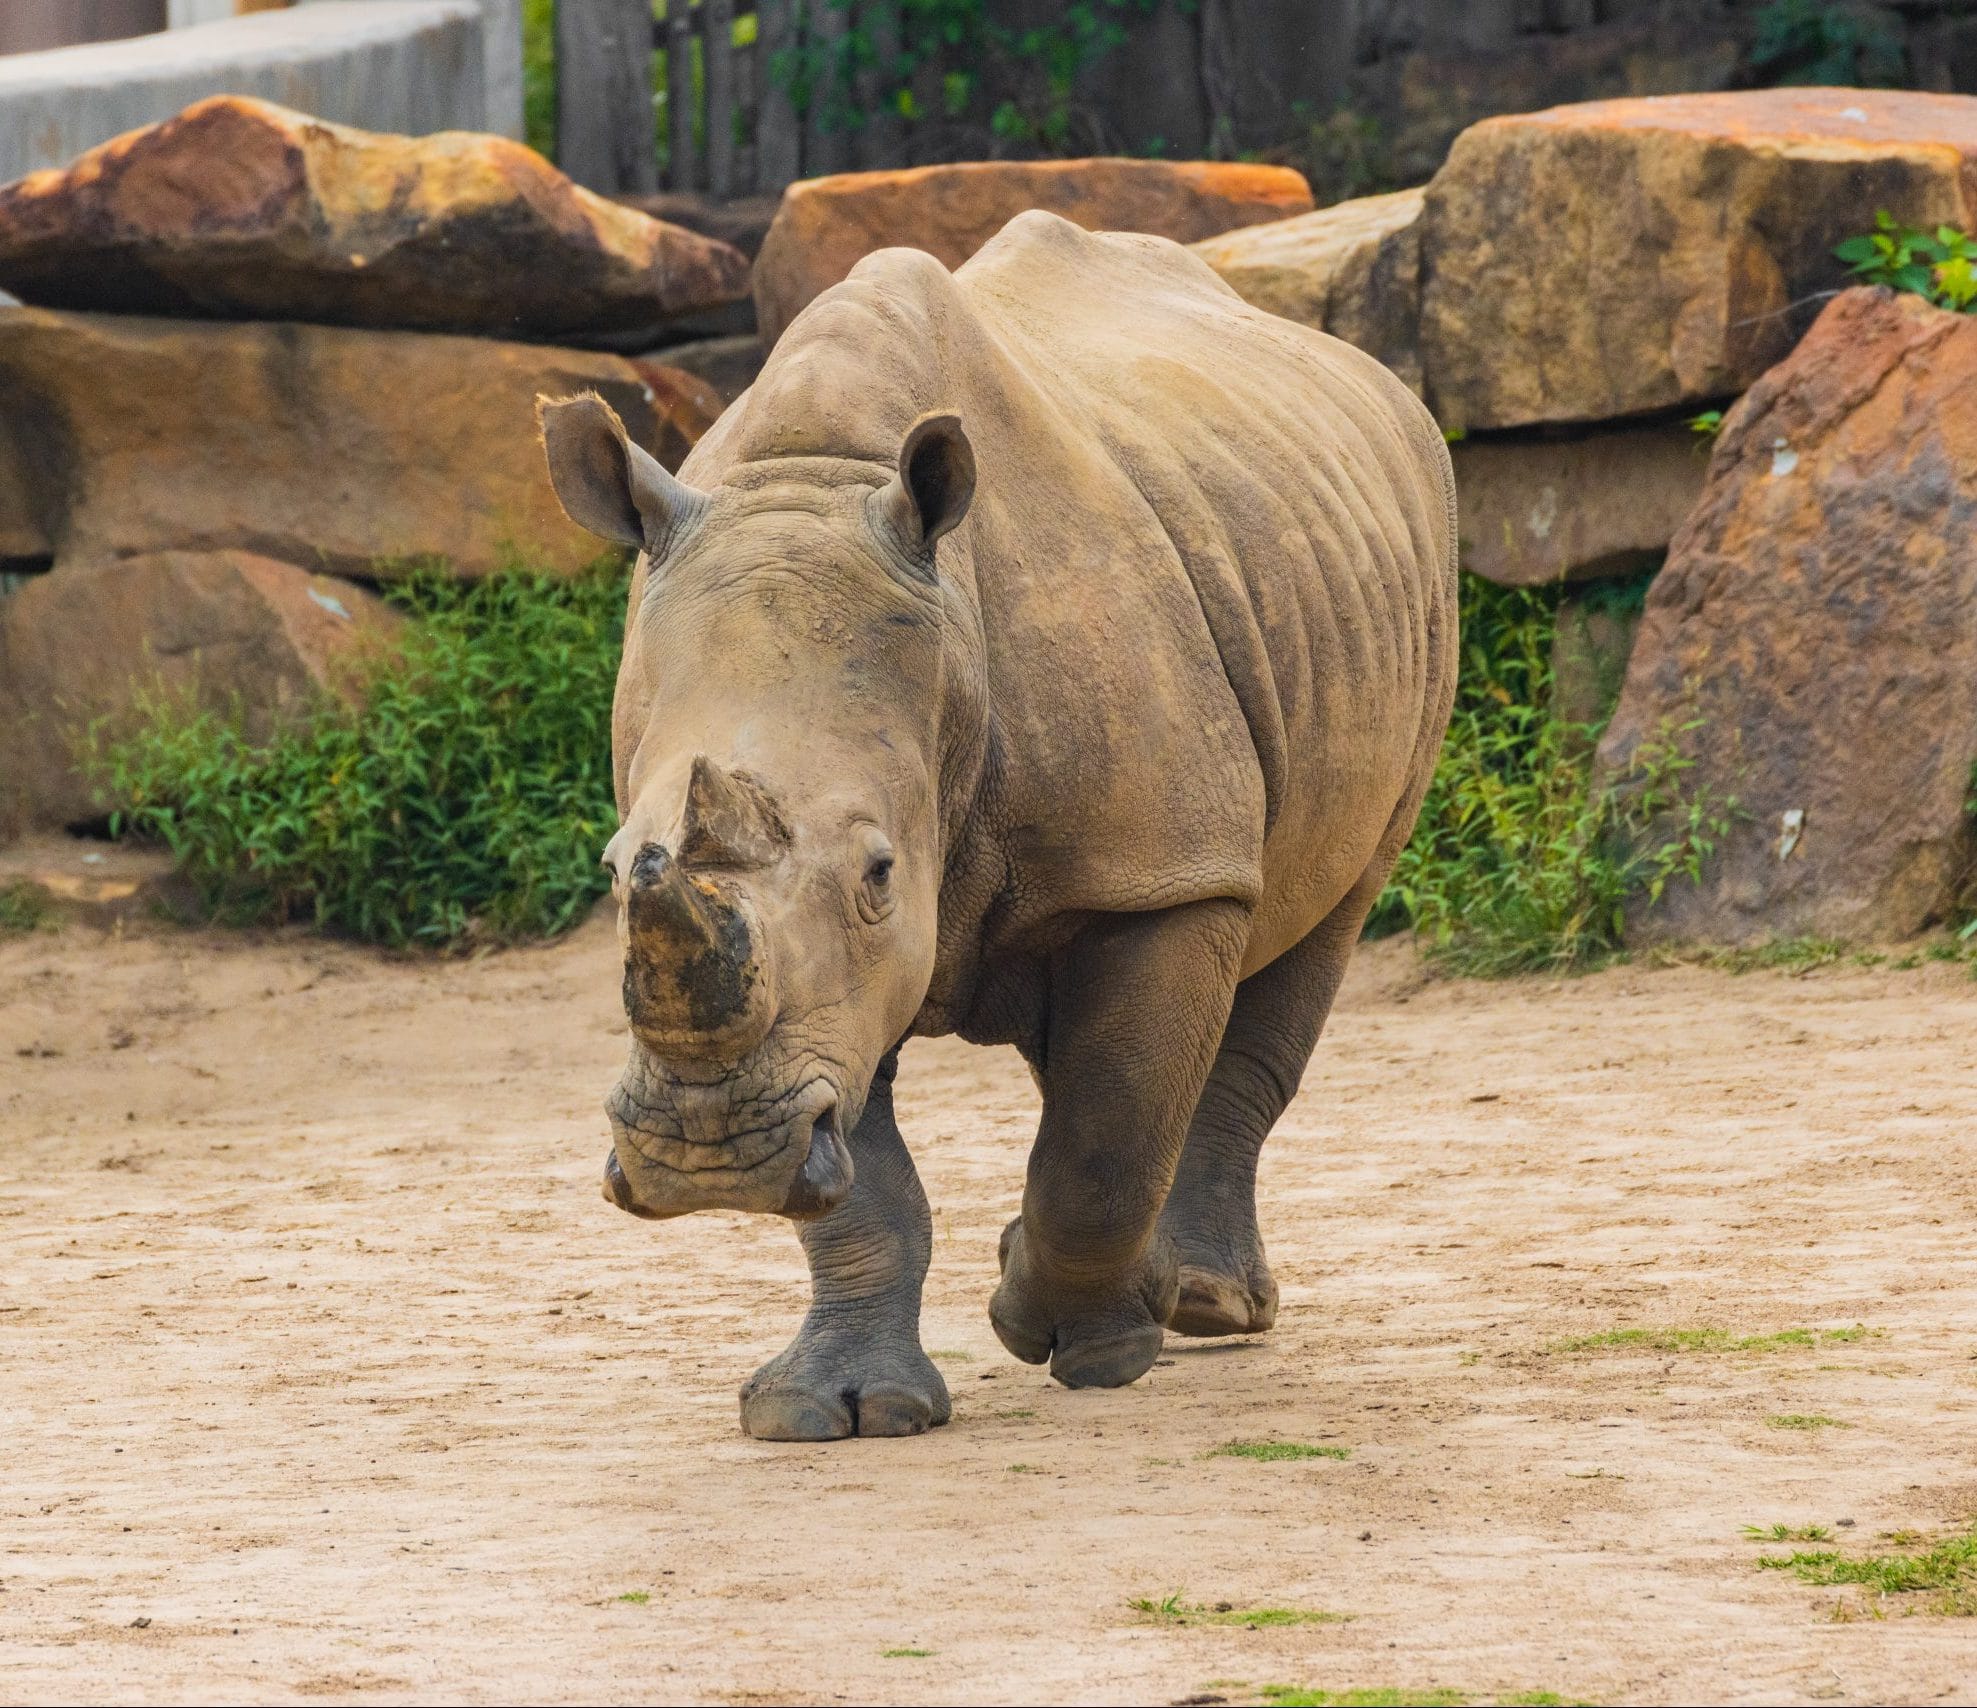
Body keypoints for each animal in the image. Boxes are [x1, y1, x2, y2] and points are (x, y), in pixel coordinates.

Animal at [537, 210, 1455, 1439]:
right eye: (613, 866)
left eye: (879, 872)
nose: (707, 1154)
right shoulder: (823, 996)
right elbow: (866, 1176)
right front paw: (830, 1409)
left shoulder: (1160, 872)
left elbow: (1103, 1145)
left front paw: (1082, 1341)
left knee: (1319, 920)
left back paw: (1201, 1308)